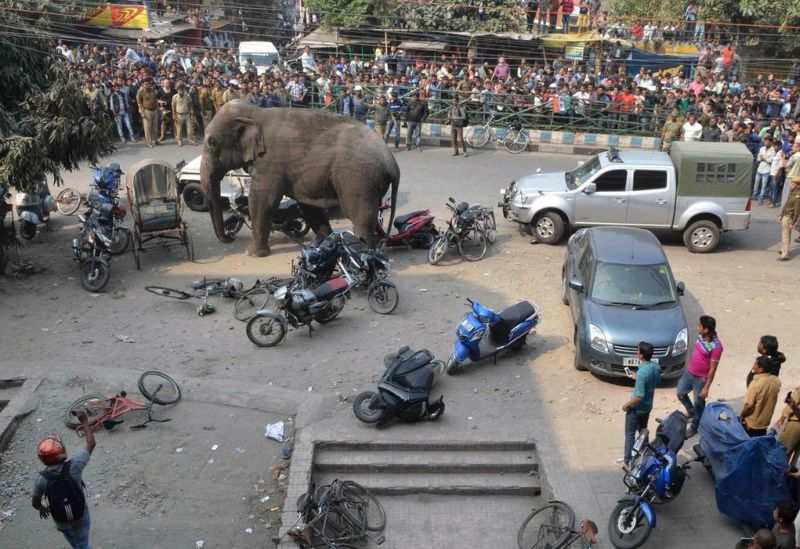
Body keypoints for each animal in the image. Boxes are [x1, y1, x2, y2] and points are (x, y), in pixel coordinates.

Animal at [200, 99, 400, 255]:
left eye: (212, 143)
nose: (230, 236)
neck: (255, 112)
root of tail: (392, 161)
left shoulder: (270, 163)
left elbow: (262, 200)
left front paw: (252, 254)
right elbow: (308, 206)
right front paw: (324, 245)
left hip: (358, 179)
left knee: (359, 216)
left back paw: (364, 253)